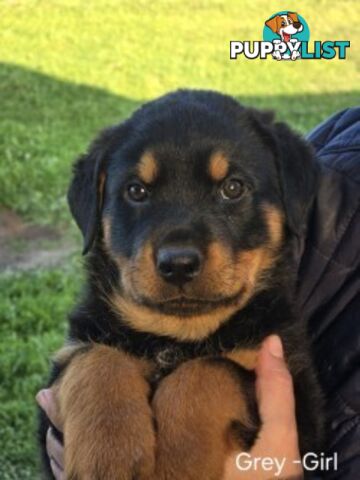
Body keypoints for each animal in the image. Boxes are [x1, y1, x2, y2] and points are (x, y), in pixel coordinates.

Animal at [38, 90, 324, 480]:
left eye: (233, 188)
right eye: (136, 190)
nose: (178, 264)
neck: (175, 337)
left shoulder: (299, 396)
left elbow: (206, 371)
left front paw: (179, 463)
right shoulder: (58, 387)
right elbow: (96, 359)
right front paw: (110, 456)